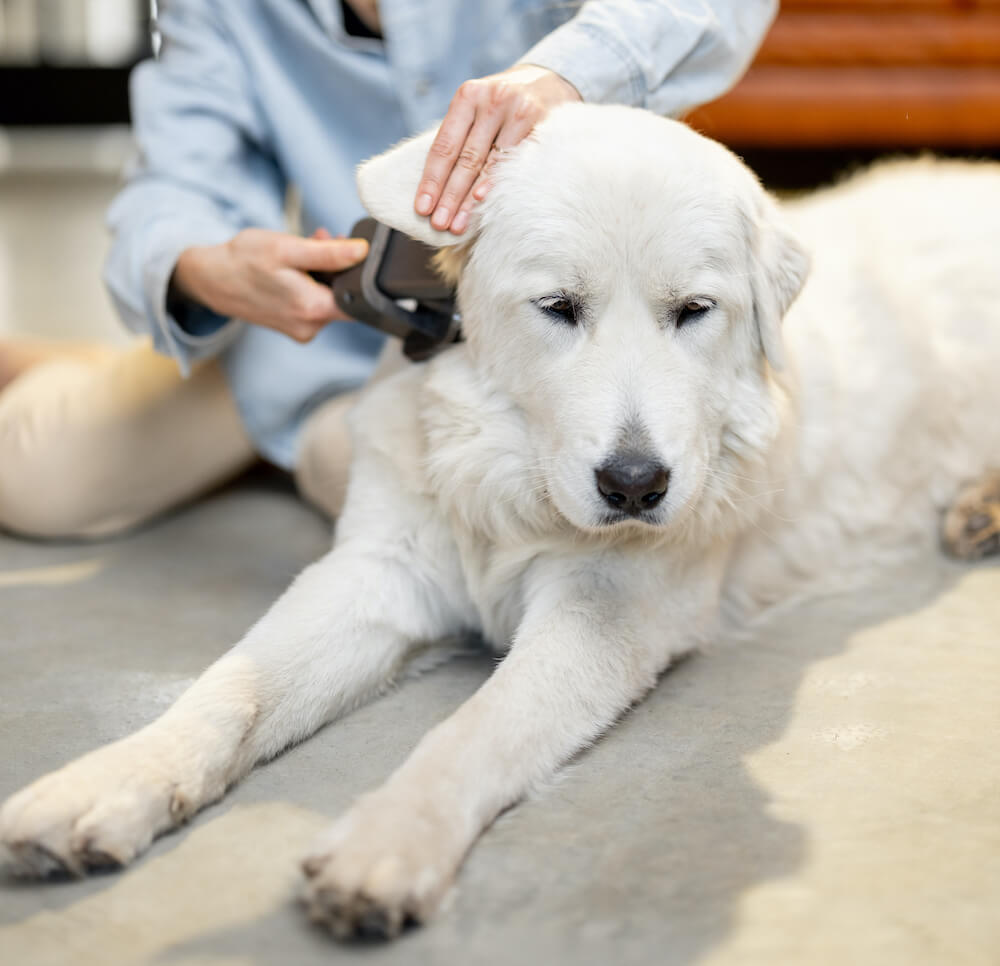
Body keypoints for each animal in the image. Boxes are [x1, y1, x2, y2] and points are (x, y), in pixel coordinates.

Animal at [1, 104, 1000, 936]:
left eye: (694, 311)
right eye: (558, 308)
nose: (634, 485)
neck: (504, 479)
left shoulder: (601, 614)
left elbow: (472, 730)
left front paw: (387, 845)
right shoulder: (376, 575)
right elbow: (232, 690)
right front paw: (110, 781)